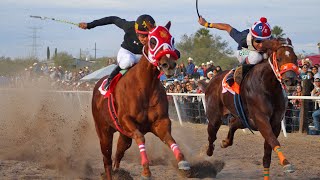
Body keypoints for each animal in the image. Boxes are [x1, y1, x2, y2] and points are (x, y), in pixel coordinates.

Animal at [91, 21, 190, 179]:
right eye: (153, 41)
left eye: (172, 40)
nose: (169, 64)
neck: (144, 86)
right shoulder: (126, 121)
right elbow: (140, 137)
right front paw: (146, 170)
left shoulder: (160, 122)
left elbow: (170, 139)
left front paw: (183, 163)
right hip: (103, 130)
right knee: (106, 159)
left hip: (124, 135)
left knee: (118, 153)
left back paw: (118, 171)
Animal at [200, 38, 300, 179]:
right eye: (279, 58)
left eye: (295, 58)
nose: (291, 79)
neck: (268, 87)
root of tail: (212, 81)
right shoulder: (261, 119)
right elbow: (273, 141)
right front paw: (286, 163)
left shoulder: (274, 123)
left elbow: (267, 153)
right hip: (215, 117)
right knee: (211, 136)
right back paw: (208, 152)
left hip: (244, 119)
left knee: (232, 123)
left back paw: (225, 142)